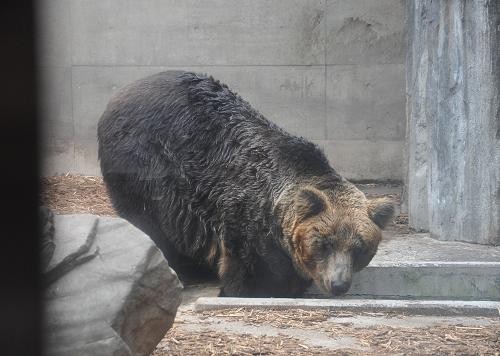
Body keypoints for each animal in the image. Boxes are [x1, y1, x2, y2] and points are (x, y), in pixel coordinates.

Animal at [98, 70, 394, 298]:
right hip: (142, 167)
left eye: (360, 248)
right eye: (325, 243)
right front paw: (254, 290)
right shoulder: (244, 217)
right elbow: (252, 271)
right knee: (147, 220)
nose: (339, 284)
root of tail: (121, 92)